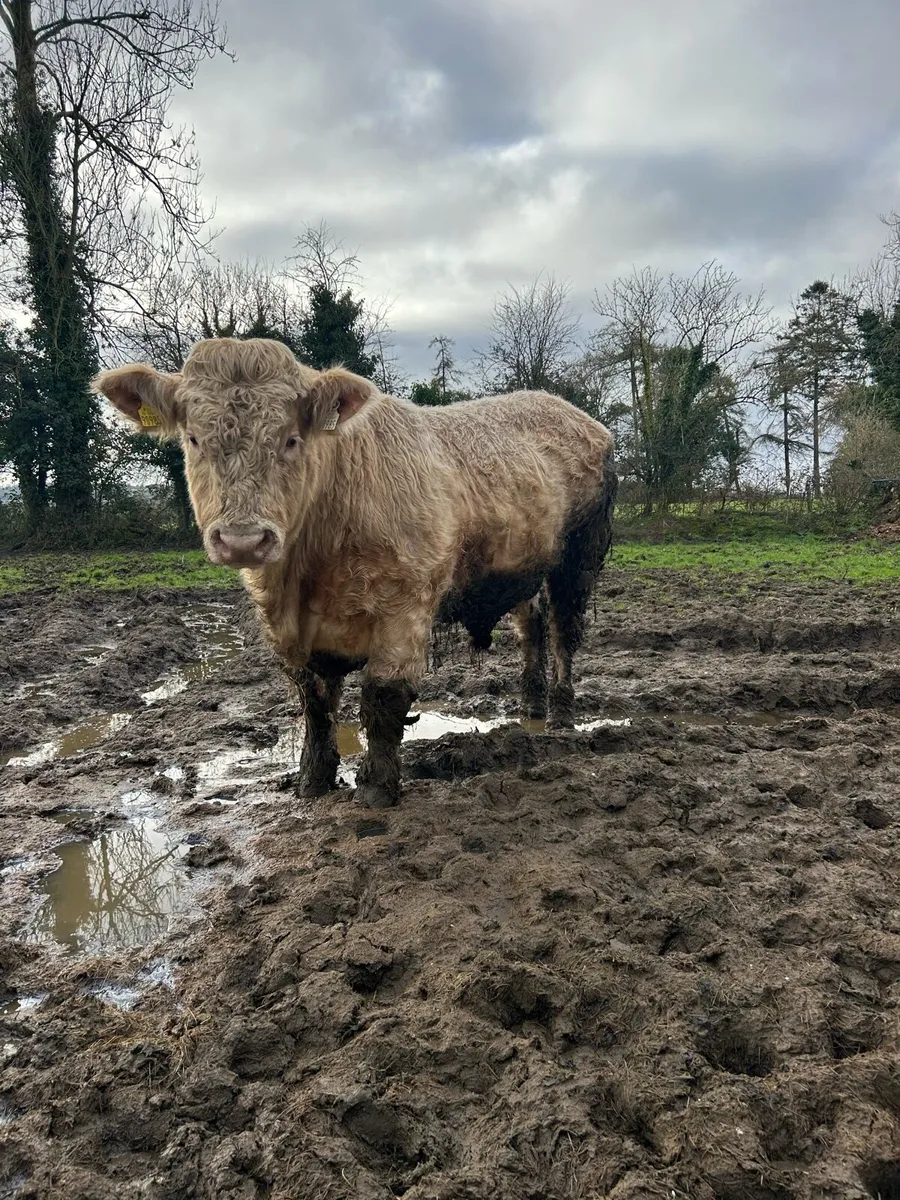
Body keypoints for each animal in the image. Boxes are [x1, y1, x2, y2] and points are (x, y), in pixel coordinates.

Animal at [92, 338, 617, 808]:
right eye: (195, 439)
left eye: (291, 439)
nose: (243, 539)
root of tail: (566, 409)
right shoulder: (291, 632)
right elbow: (316, 704)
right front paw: (312, 783)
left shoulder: (406, 607)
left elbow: (382, 701)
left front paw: (376, 789)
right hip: (523, 564)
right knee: (532, 626)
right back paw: (530, 706)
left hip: (579, 554)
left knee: (563, 630)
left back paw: (561, 717)